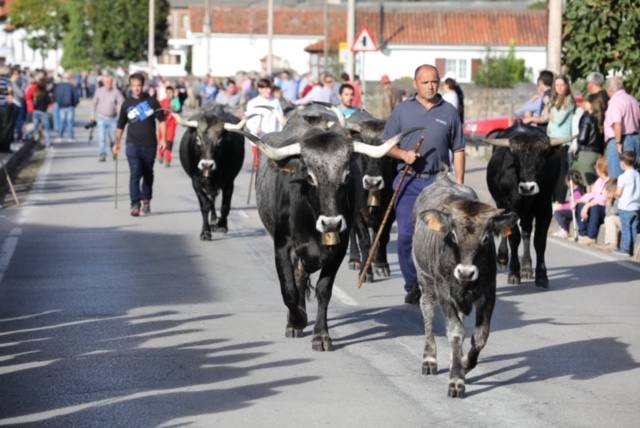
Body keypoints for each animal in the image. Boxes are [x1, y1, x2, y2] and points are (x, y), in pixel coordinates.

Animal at [412, 171, 516, 398]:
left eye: (485, 238)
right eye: (452, 234)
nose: (466, 272)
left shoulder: (488, 293)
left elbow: (480, 335)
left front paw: (463, 364)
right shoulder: (444, 292)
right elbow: (455, 331)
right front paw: (456, 381)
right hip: (425, 280)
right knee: (427, 311)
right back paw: (429, 359)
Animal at [484, 120, 568, 288]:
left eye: (541, 158)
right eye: (516, 159)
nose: (527, 187)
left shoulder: (545, 209)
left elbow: (539, 240)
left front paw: (541, 275)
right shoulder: (509, 208)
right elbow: (513, 238)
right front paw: (514, 273)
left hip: (528, 212)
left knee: (527, 232)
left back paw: (527, 267)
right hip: (501, 204)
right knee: (507, 231)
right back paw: (502, 259)